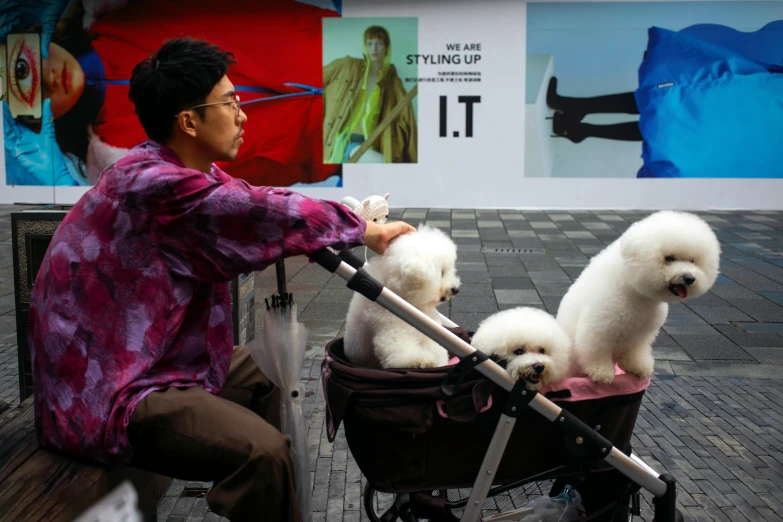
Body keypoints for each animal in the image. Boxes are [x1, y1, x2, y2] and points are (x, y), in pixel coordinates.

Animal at [342, 225, 460, 368]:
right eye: (441, 272)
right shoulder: (391, 330)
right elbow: (400, 353)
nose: (455, 289)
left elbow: (437, 349)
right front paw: (423, 361)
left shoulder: (431, 335)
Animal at [556, 209, 724, 384]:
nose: (690, 278)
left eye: (692, 261)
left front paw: (638, 367)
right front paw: (602, 372)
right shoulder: (598, 328)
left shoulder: (641, 334)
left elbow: (635, 352)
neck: (634, 290)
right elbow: (596, 350)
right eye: (669, 258)